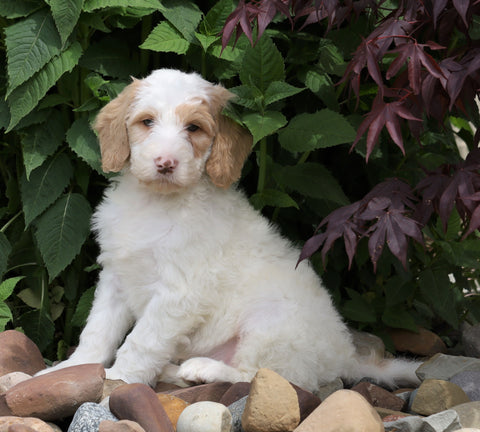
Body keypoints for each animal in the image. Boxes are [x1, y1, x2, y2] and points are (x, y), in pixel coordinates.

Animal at [39, 70, 418, 392]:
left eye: (193, 128)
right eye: (146, 121)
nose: (165, 163)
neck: (156, 203)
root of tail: (345, 356)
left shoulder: (179, 293)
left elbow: (141, 340)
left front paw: (120, 377)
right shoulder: (116, 278)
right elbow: (97, 331)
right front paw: (71, 369)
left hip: (271, 323)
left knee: (262, 375)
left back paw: (204, 370)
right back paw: (175, 371)